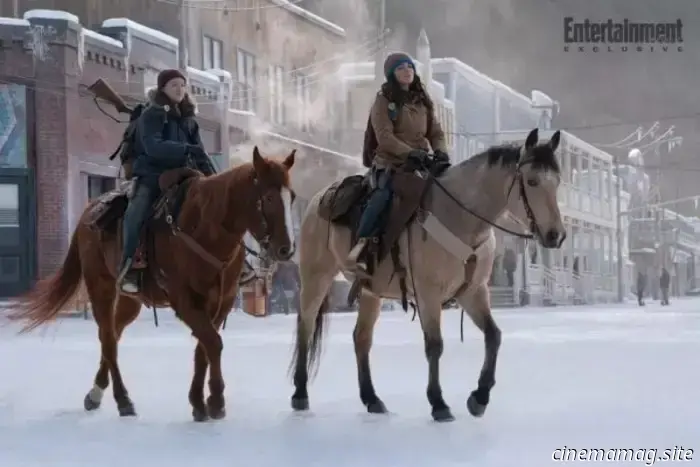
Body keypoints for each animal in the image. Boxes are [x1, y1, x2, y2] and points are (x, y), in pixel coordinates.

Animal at [8, 147, 298, 424]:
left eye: (292, 197)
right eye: (268, 198)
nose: (286, 249)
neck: (205, 229)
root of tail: (88, 214)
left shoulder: (221, 301)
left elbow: (203, 347)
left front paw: (198, 403)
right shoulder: (184, 300)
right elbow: (213, 343)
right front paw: (215, 402)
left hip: (129, 300)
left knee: (113, 334)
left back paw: (95, 394)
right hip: (100, 286)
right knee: (108, 338)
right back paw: (123, 400)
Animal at [288, 129, 568, 424]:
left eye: (557, 181)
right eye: (532, 181)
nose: (556, 235)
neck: (460, 218)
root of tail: (319, 198)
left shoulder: (474, 291)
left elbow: (493, 336)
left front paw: (479, 397)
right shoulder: (428, 293)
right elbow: (435, 345)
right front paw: (439, 403)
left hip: (370, 291)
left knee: (361, 338)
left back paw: (372, 399)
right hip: (316, 277)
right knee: (306, 327)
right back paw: (300, 394)